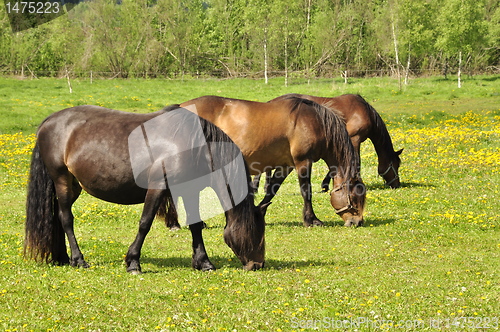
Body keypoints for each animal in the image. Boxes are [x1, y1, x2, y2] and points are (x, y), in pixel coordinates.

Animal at [24, 104, 266, 272]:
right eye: (256, 231)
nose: (257, 265)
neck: (192, 143)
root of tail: (49, 121)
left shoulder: (190, 190)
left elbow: (196, 225)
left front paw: (203, 262)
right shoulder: (157, 188)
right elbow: (145, 224)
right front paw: (133, 262)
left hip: (74, 186)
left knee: (57, 216)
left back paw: (62, 258)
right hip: (62, 180)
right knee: (66, 218)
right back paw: (78, 259)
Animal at [178, 94, 366, 227]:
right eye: (354, 197)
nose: (357, 222)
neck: (314, 122)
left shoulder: (286, 165)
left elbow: (272, 189)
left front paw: (258, 212)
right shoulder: (303, 162)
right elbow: (306, 191)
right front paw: (311, 220)